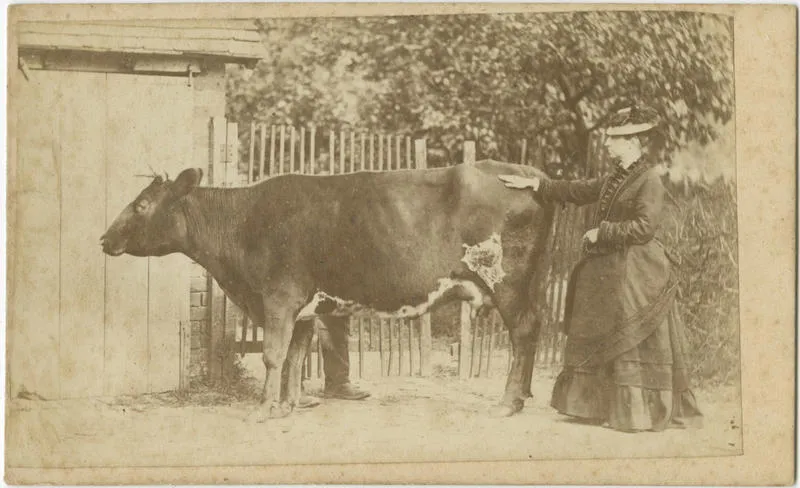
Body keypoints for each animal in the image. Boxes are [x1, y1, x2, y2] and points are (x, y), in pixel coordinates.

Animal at [101, 160, 555, 420]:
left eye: (141, 205)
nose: (104, 237)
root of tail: (532, 175)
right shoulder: (302, 308)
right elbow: (295, 357)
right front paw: (288, 405)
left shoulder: (278, 297)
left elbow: (273, 355)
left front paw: (263, 409)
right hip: (528, 282)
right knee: (535, 327)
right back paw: (525, 394)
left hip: (506, 279)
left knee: (524, 331)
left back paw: (508, 402)